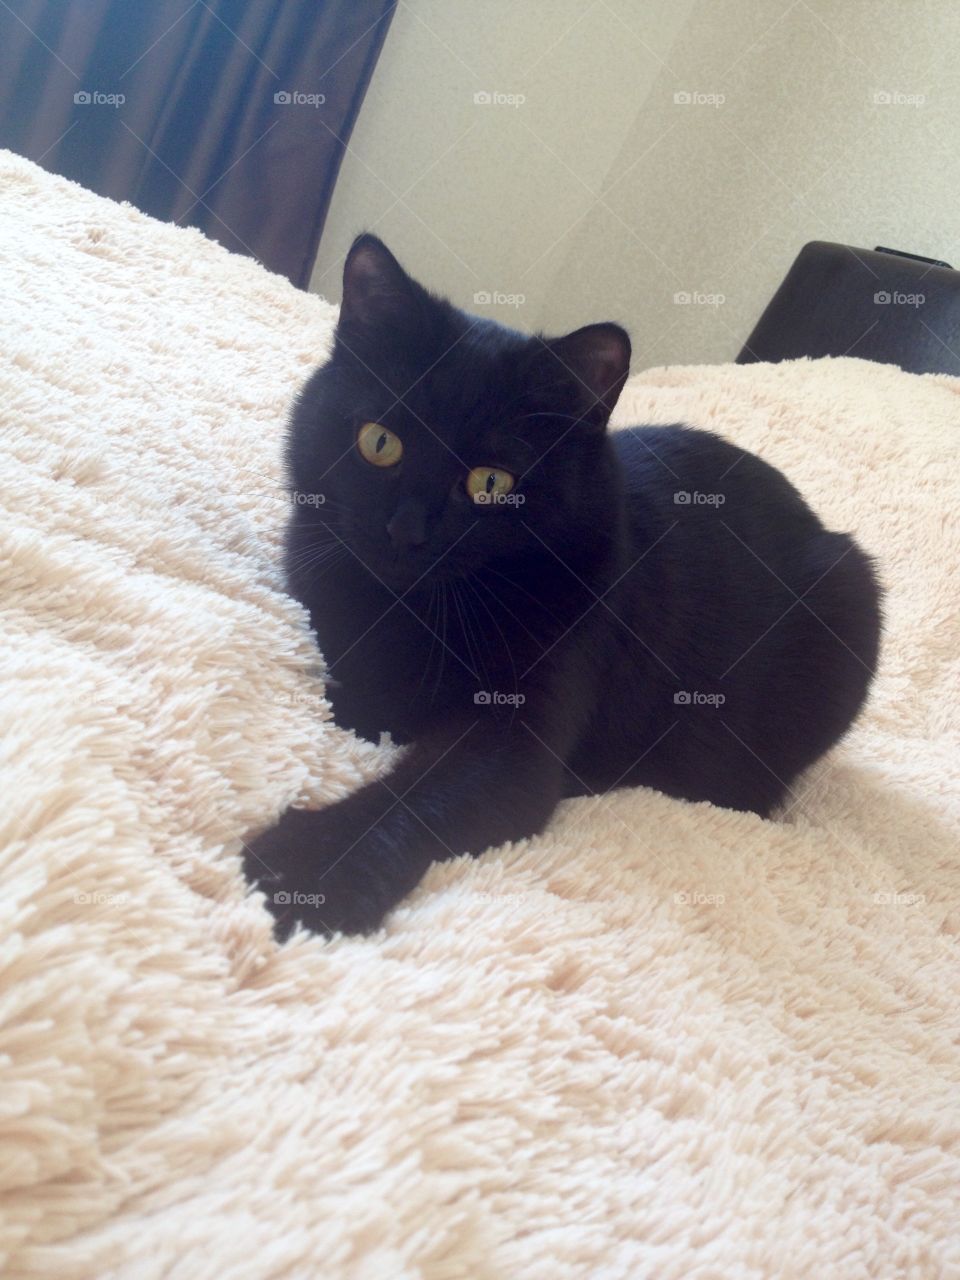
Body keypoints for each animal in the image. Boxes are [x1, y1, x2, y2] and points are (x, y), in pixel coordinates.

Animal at [244, 235, 885, 936]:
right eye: (380, 442)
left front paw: (304, 874)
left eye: (491, 483)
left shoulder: (520, 744)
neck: (409, 610)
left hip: (851, 594)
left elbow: (418, 799)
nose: (404, 532)